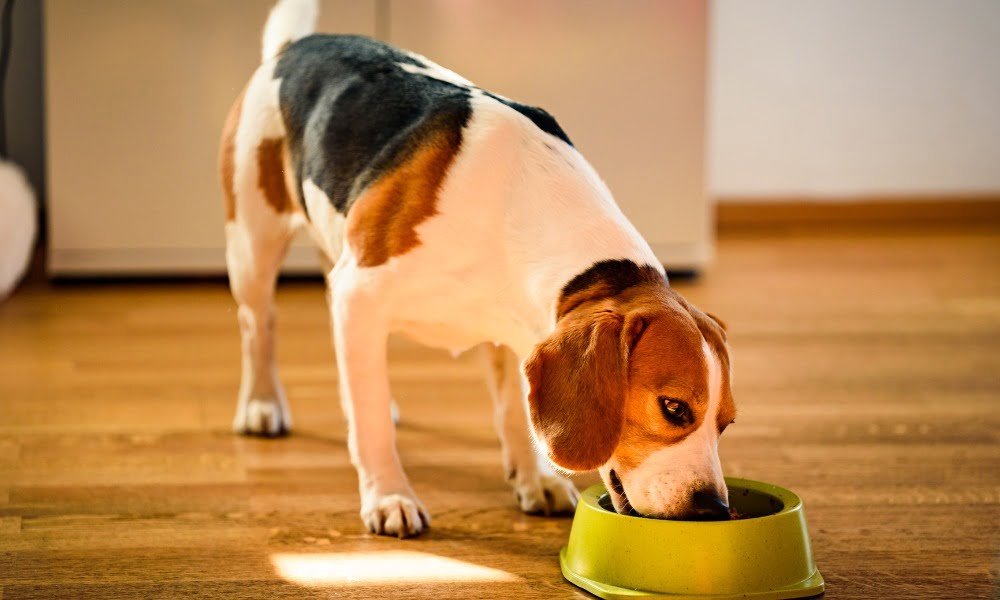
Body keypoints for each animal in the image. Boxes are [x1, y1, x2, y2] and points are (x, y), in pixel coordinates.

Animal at [219, 0, 736, 536]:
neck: (519, 205)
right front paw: (389, 495)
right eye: (674, 408)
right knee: (259, 326)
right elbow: (372, 426)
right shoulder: (359, 292)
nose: (714, 509)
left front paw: (534, 479)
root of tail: (297, 46)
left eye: (726, 423)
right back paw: (262, 405)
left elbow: (513, 412)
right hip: (254, 247)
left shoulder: (516, 332)